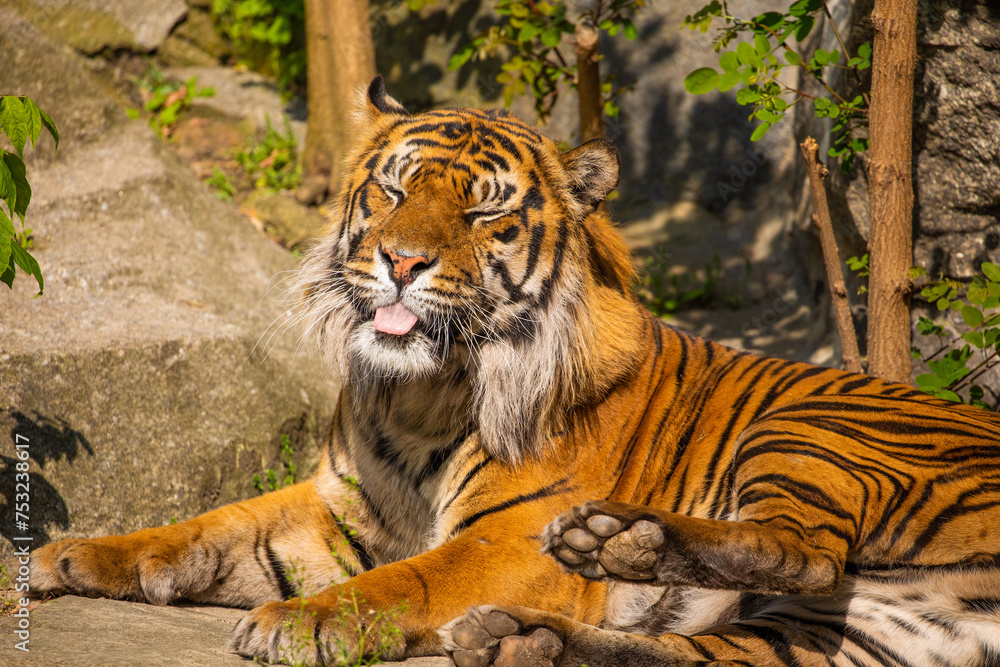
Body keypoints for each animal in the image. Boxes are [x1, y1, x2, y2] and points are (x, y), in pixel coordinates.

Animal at [29, 76, 1000, 667]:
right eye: (393, 190)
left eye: (482, 213)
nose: (402, 261)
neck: (419, 393)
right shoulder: (335, 508)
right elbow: (208, 525)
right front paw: (73, 555)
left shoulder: (507, 536)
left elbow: (402, 580)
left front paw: (298, 621)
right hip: (828, 633)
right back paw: (524, 640)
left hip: (812, 427)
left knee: (805, 548)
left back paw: (618, 541)